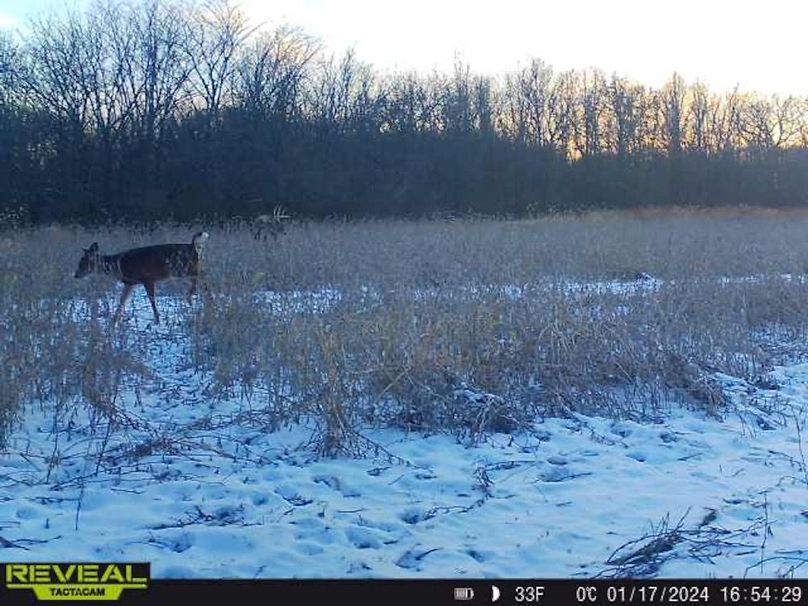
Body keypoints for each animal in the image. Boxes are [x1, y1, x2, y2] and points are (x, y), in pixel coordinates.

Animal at [74, 232, 209, 325]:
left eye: (83, 262)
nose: (75, 275)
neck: (117, 265)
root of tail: (193, 246)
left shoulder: (147, 278)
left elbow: (151, 299)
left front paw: (157, 320)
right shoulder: (131, 283)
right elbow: (122, 301)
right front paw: (114, 320)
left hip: (184, 269)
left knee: (203, 276)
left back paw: (191, 296)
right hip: (185, 270)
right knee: (202, 279)